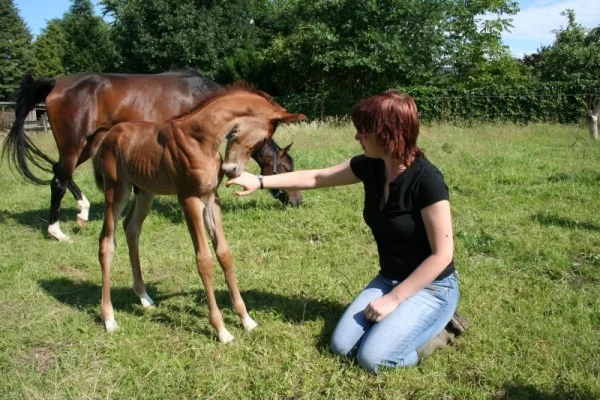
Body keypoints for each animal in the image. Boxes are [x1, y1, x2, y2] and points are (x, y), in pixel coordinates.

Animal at [94, 85, 308, 344]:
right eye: (263, 139)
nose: (232, 170)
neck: (201, 139)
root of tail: (107, 136)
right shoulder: (189, 199)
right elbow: (204, 260)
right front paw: (221, 329)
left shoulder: (211, 198)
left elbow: (224, 254)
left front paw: (246, 319)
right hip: (117, 190)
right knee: (107, 242)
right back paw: (109, 318)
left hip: (145, 191)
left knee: (132, 228)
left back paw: (144, 297)